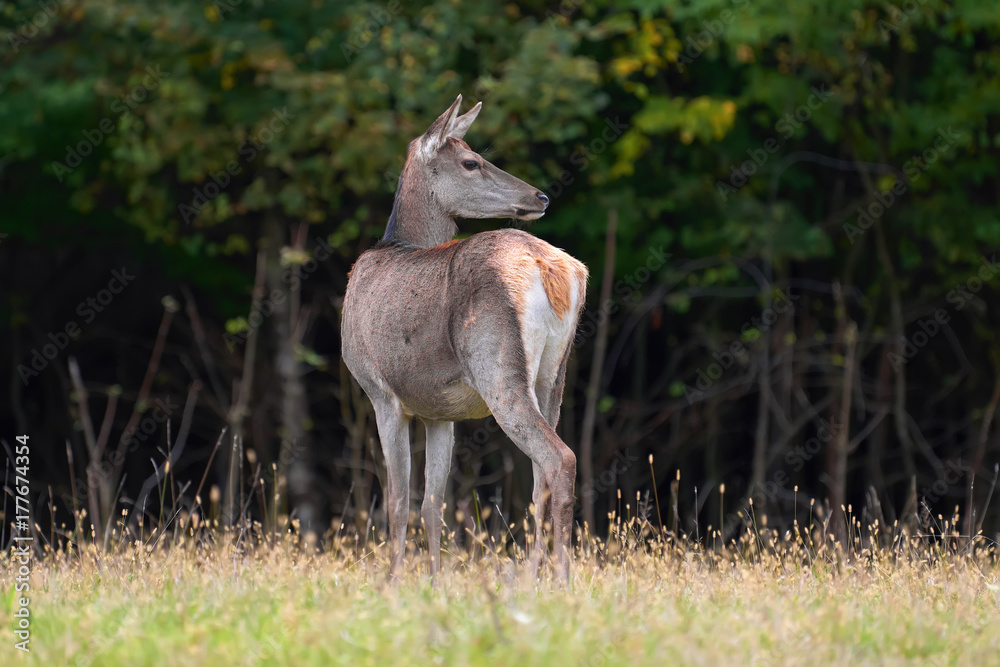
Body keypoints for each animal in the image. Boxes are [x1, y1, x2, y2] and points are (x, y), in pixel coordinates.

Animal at [342, 95, 584, 584]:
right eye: (472, 161)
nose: (541, 196)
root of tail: (554, 267)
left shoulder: (379, 390)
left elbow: (398, 500)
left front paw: (392, 582)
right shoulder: (440, 412)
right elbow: (433, 504)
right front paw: (436, 581)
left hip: (496, 363)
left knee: (558, 459)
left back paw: (557, 580)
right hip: (555, 373)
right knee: (540, 477)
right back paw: (537, 575)